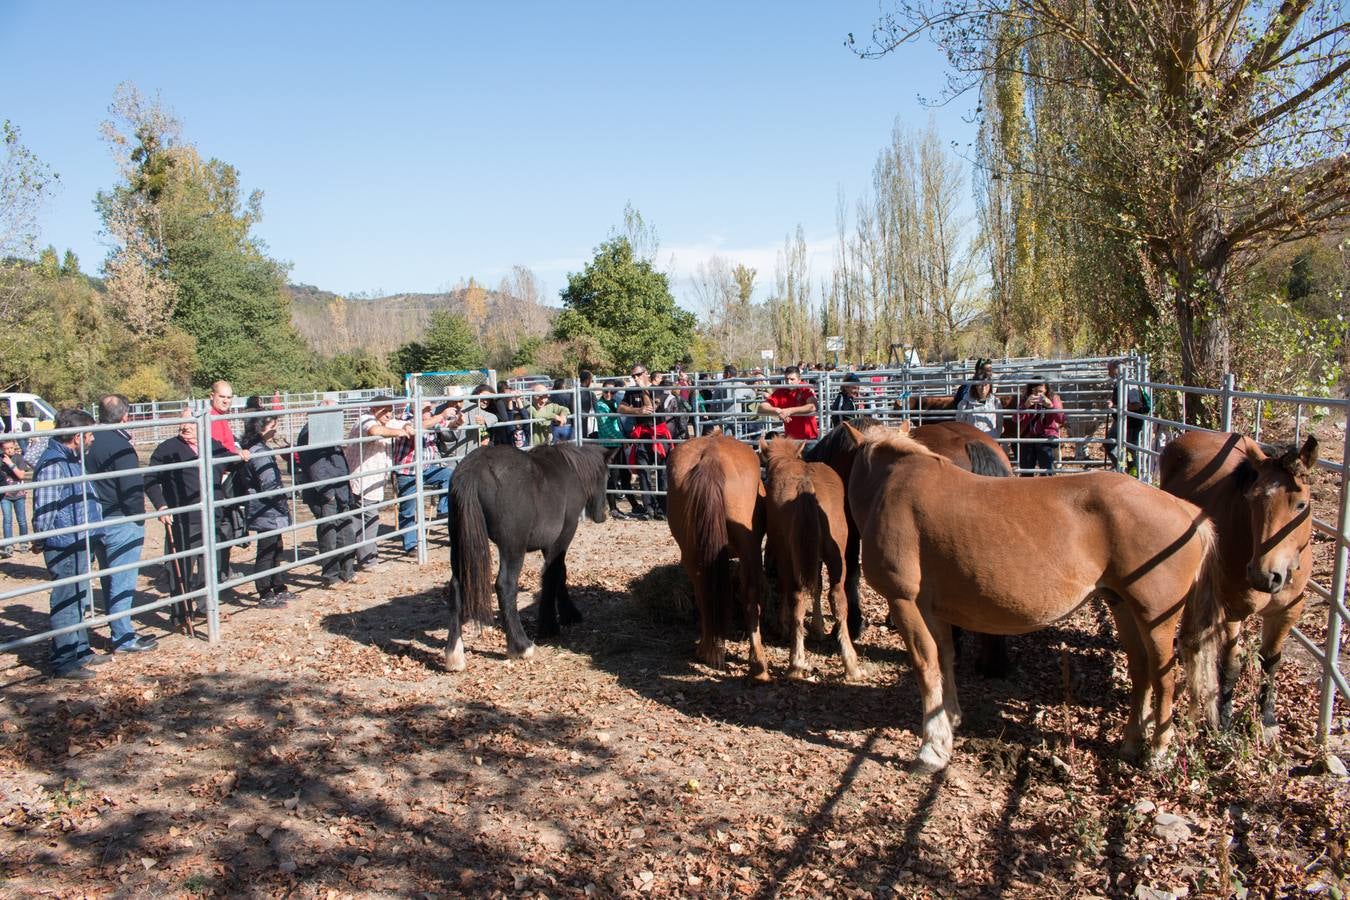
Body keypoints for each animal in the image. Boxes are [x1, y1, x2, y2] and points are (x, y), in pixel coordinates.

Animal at [666, 431, 772, 680]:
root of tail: (711, 457)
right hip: (749, 548)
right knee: (750, 591)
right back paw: (757, 663)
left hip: (693, 552)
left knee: (703, 591)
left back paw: (708, 650)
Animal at [761, 437, 864, 682]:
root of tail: (806, 488)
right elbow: (816, 585)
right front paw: (818, 627)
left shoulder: (785, 554)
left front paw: (782, 625)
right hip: (836, 557)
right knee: (837, 596)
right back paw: (850, 663)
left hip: (792, 556)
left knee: (797, 596)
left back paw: (795, 663)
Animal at [847, 426, 1220, 771]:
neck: (890, 486)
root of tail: (1187, 511)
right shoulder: (933, 609)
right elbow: (945, 659)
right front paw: (950, 719)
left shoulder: (905, 603)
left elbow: (926, 667)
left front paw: (932, 749)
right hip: (1123, 607)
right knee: (1141, 672)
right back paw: (1130, 744)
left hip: (1156, 619)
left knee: (1164, 678)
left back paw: (1157, 751)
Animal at [1161, 429, 1317, 734]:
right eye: (1252, 501)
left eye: (1301, 505)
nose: (1264, 575)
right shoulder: (1232, 611)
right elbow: (1230, 666)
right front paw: (1224, 721)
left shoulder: (1287, 611)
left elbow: (1271, 662)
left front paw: (1268, 719)